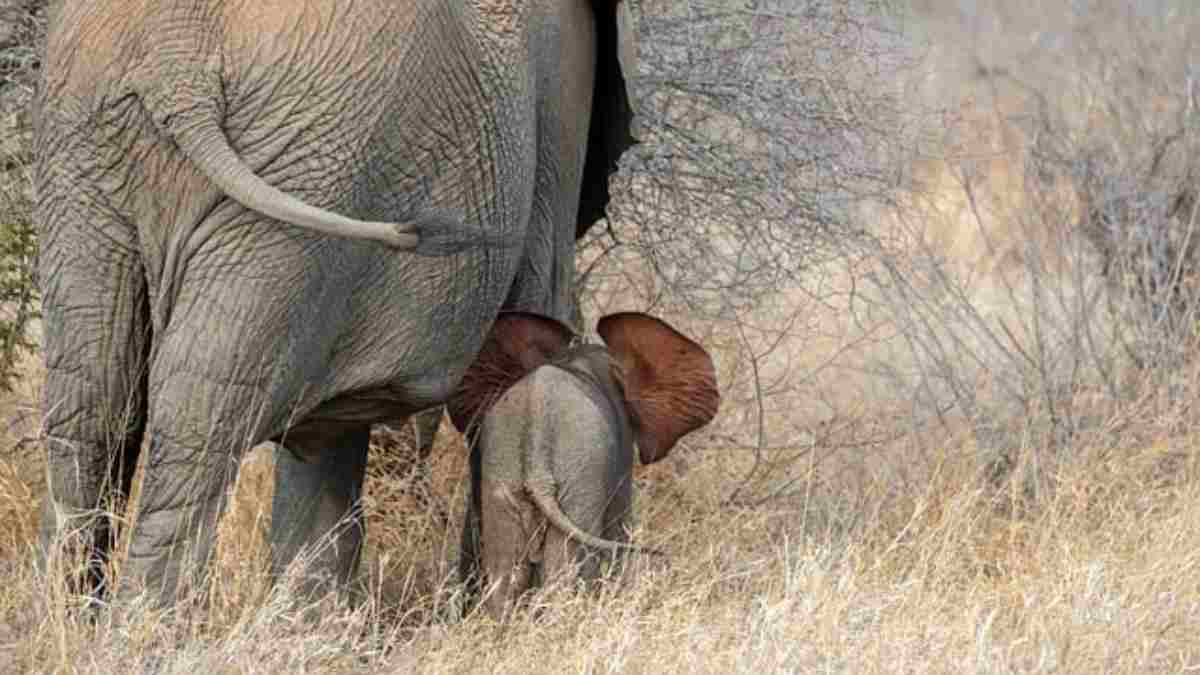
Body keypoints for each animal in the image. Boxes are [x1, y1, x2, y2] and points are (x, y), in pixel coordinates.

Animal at [35, 0, 638, 607]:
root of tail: (176, 65)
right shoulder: (561, 93)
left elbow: (325, 436)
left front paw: (309, 614)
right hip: (313, 167)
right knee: (197, 423)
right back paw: (146, 622)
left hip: (95, 155)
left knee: (93, 403)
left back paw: (74, 618)